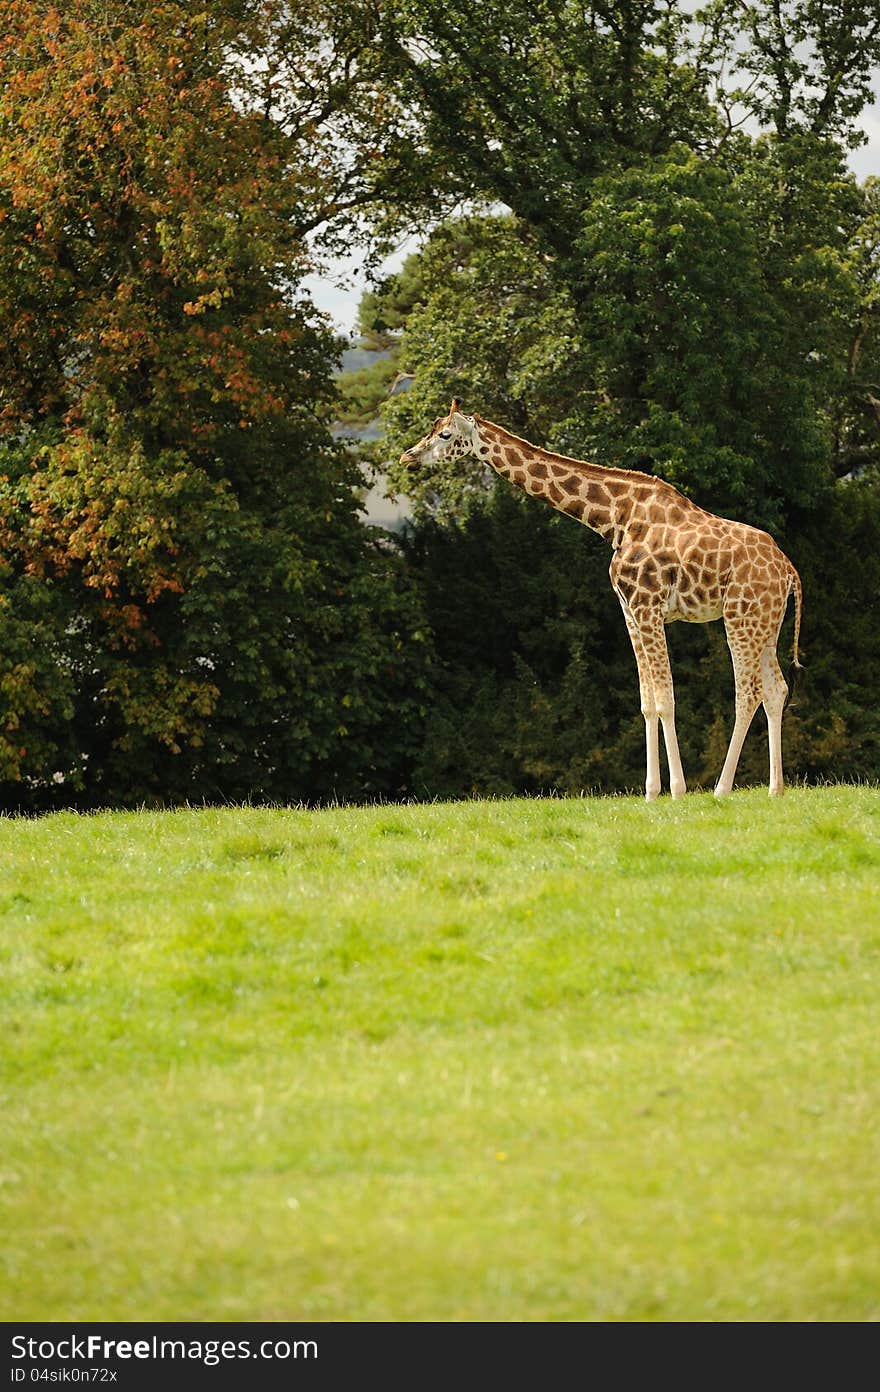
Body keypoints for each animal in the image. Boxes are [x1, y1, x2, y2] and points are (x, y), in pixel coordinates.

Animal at [401, 398, 802, 801]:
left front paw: (677, 790)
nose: (407, 457)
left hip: (739, 618)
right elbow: (647, 702)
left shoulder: (647, 606)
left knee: (748, 693)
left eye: (445, 434)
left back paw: (721, 789)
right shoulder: (629, 611)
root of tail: (789, 571)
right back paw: (775, 788)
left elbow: (666, 698)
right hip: (765, 623)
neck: (614, 519)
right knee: (776, 689)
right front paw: (651, 792)